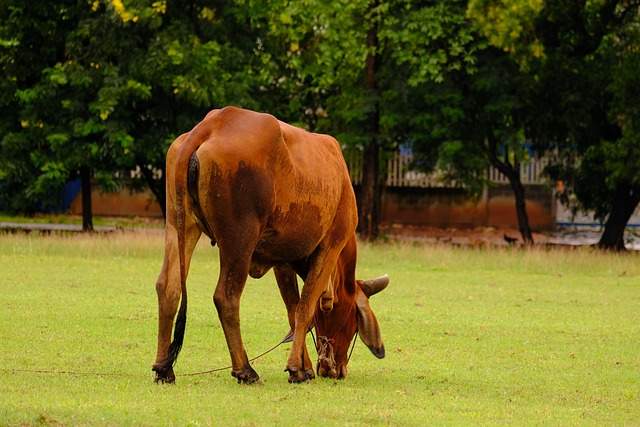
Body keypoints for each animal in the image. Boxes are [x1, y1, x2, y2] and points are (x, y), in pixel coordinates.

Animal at [152, 107, 388, 384]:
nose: (337, 369)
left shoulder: (282, 259)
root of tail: (213, 123)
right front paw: (296, 367)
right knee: (226, 296)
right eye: (354, 320)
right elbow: (305, 308)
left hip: (180, 223)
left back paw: (164, 368)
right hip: (239, 238)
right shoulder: (331, 246)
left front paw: (304, 368)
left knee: (168, 287)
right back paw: (245, 369)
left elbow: (293, 311)